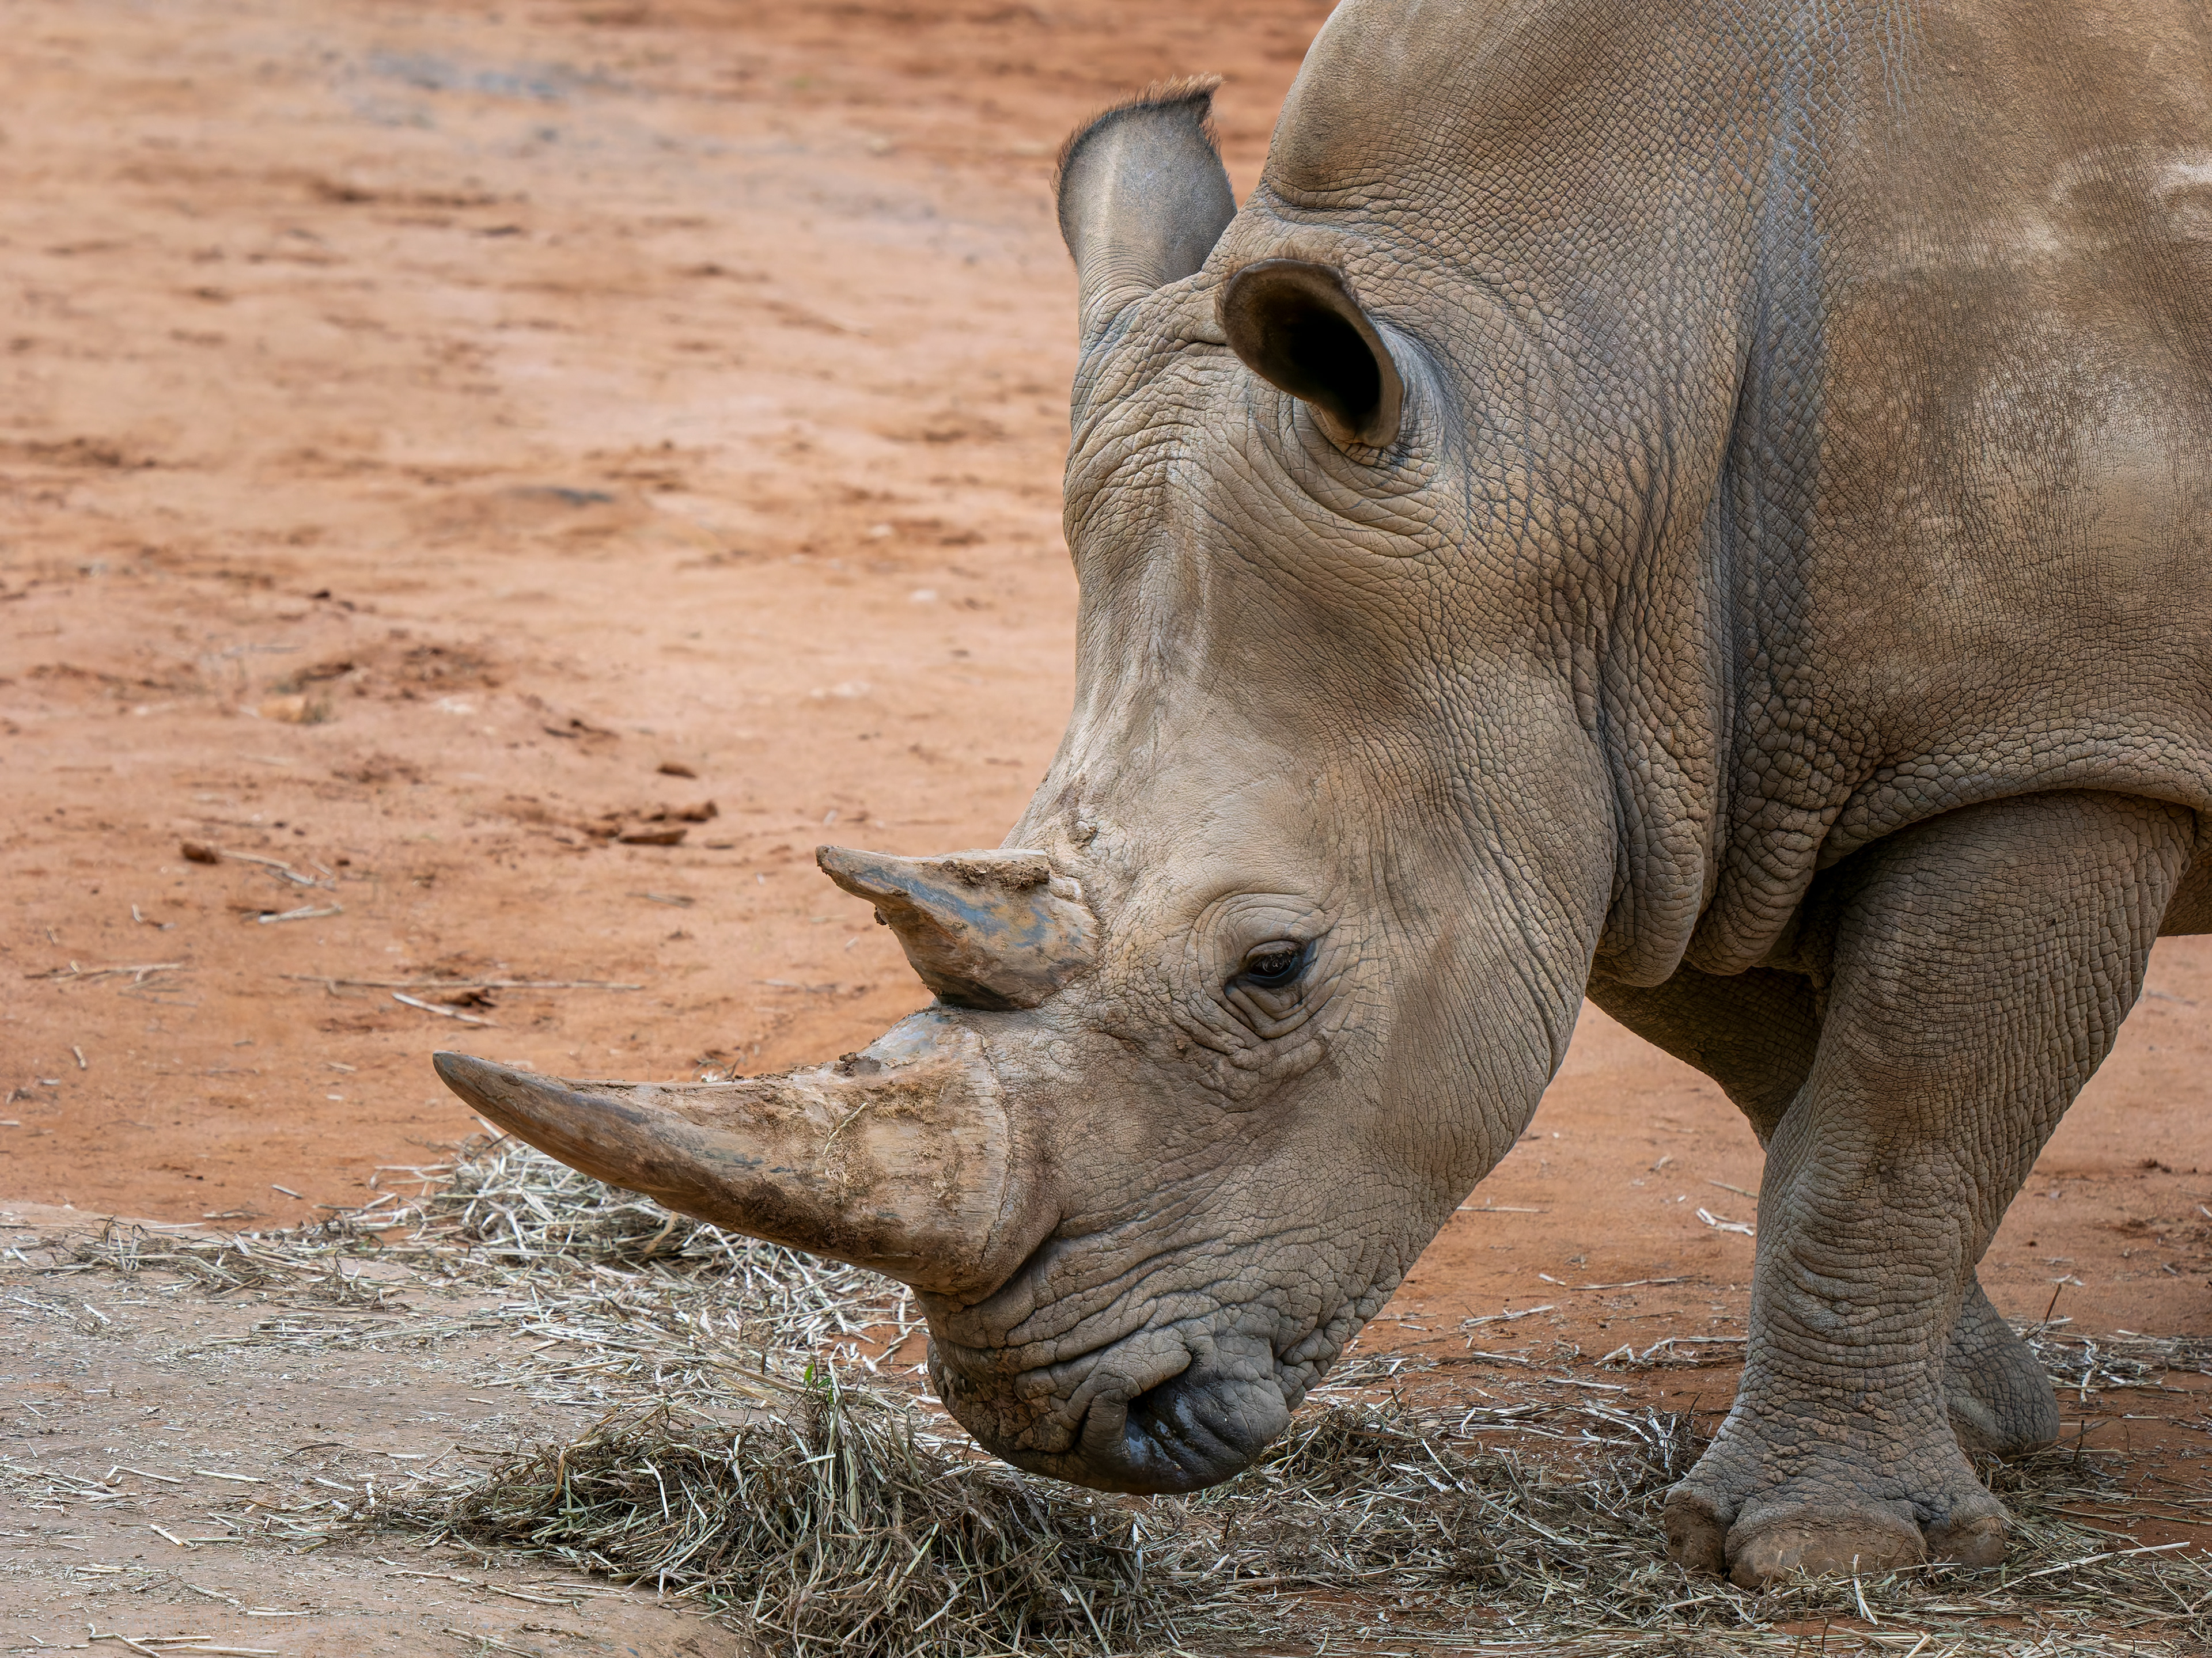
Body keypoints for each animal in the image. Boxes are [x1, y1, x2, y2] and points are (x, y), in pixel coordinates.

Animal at [435, 0, 2212, 1588]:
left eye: (1272, 968)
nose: (1056, 1421)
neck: (1572, 387)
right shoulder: (1644, 763)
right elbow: (1791, 1087)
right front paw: (1987, 1429)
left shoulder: (2050, 733)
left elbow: (1894, 1123)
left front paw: (1818, 1550)